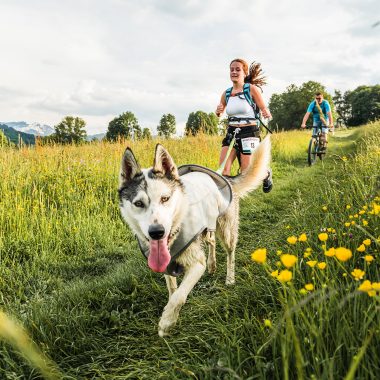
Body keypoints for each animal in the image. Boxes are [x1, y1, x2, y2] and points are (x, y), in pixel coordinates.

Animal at [119, 136, 270, 336]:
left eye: (165, 198)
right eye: (138, 203)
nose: (157, 232)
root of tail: (223, 176)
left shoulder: (197, 264)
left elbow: (179, 296)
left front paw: (167, 322)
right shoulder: (166, 265)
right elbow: (173, 290)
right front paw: (169, 313)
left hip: (227, 231)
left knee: (230, 253)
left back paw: (229, 278)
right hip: (208, 226)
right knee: (212, 242)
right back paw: (212, 265)